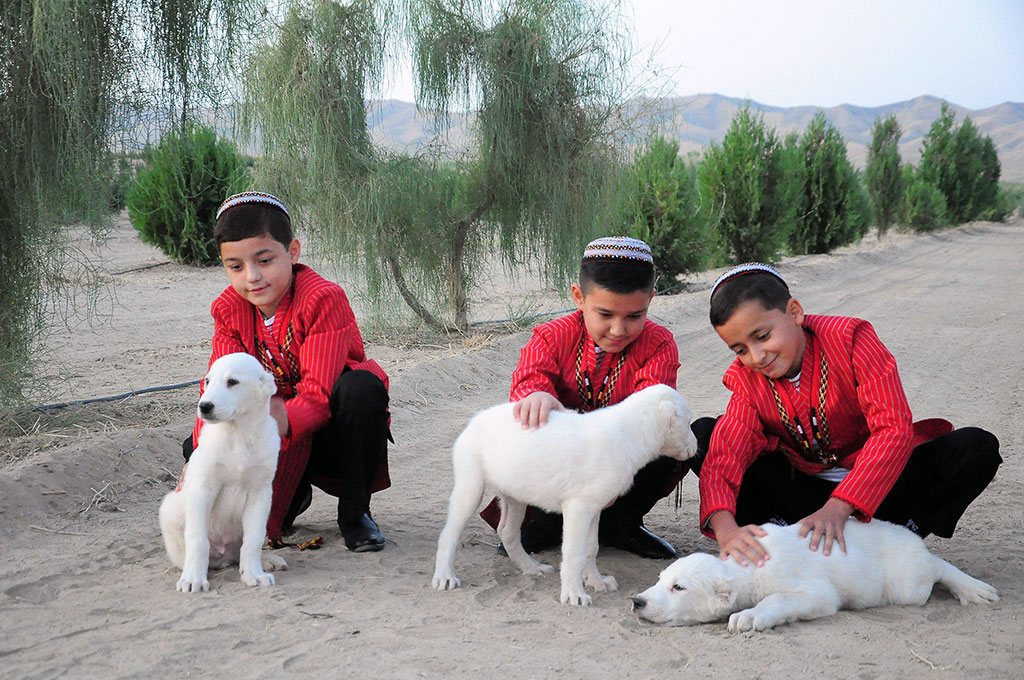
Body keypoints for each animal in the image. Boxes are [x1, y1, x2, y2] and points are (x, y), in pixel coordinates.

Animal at [159, 352, 288, 593]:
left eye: (232, 382)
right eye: (208, 381)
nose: (204, 406)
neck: (238, 434)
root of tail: (223, 556)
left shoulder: (260, 493)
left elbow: (254, 539)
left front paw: (254, 574)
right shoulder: (202, 489)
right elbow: (197, 540)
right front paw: (193, 579)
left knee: (241, 550)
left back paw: (266, 560)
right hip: (169, 509)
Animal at [428, 383, 700, 606]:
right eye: (687, 422)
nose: (697, 447)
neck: (629, 433)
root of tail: (475, 419)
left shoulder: (594, 508)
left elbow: (591, 548)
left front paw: (596, 581)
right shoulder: (578, 508)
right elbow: (574, 553)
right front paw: (573, 594)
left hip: (515, 494)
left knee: (507, 532)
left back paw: (531, 567)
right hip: (470, 487)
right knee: (448, 535)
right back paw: (445, 576)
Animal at [634, 520, 995, 630]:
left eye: (679, 587)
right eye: (659, 580)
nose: (637, 601)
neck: (748, 568)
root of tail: (913, 539)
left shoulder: (816, 590)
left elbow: (781, 598)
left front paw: (749, 616)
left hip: (907, 584)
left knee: (934, 567)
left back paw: (970, 587)